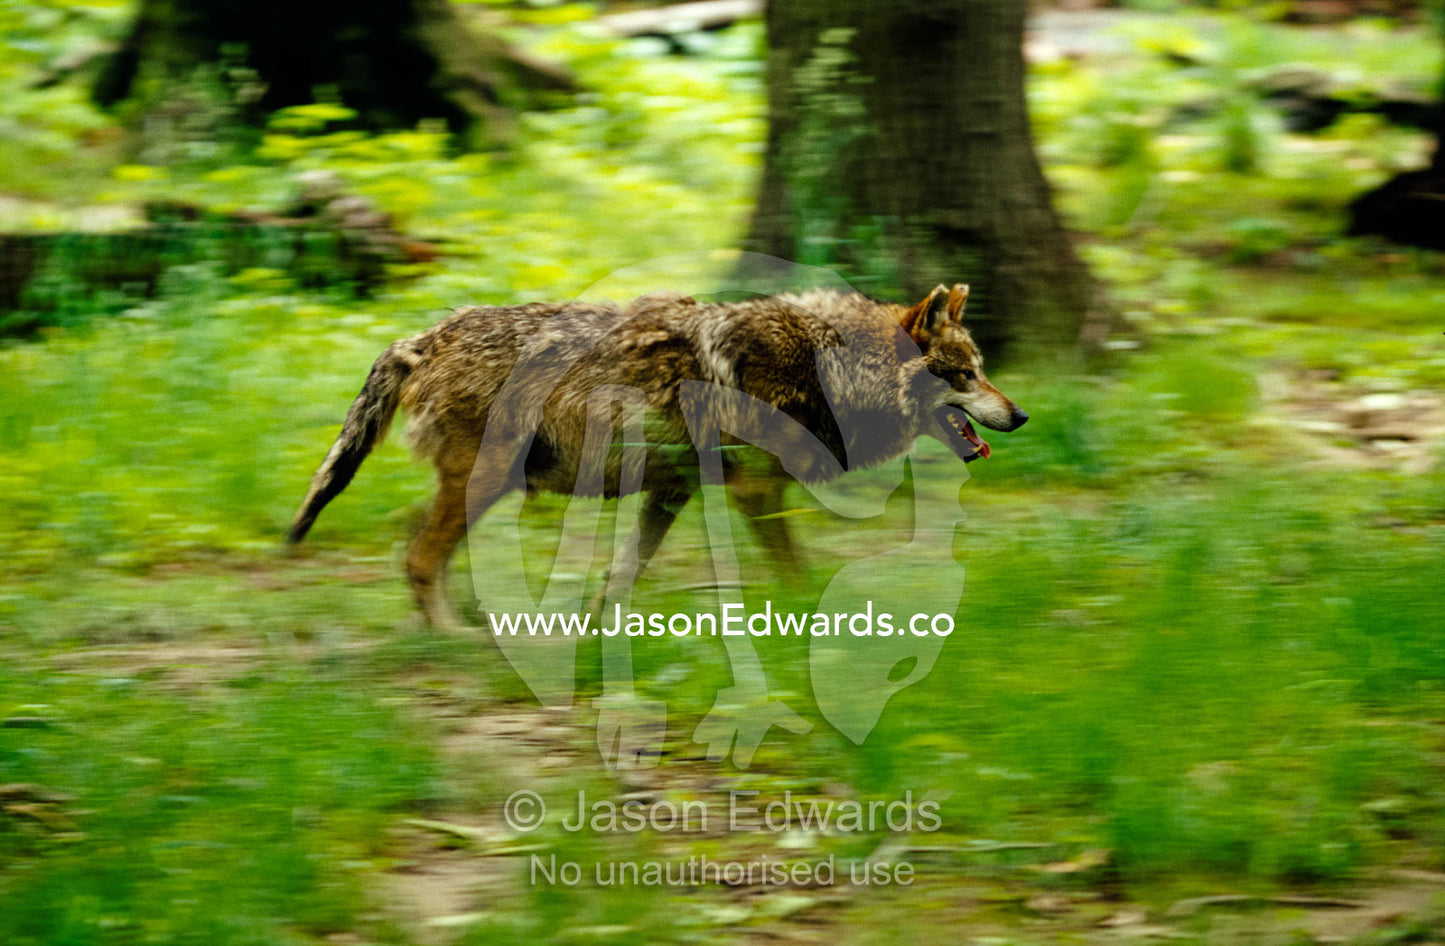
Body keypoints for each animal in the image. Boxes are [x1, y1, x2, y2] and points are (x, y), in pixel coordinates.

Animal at [287, 283, 1028, 627]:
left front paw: (598, 633)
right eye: (964, 374)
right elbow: (798, 578)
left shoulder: (670, 492)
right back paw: (453, 637)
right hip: (484, 483)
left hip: (484, 485)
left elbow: (621, 576)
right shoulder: (756, 495)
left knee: (417, 552)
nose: (1020, 415)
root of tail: (423, 336)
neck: (828, 368)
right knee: (417, 558)